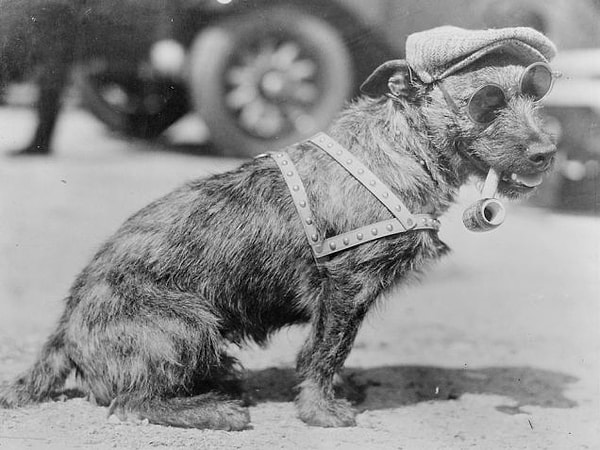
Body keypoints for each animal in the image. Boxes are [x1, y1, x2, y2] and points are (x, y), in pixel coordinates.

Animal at [0, 27, 560, 428]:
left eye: (536, 93)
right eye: (487, 101)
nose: (547, 153)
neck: (398, 149)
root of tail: (64, 331)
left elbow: (328, 353)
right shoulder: (345, 288)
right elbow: (325, 352)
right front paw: (321, 411)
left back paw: (219, 379)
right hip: (186, 323)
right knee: (130, 402)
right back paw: (210, 409)